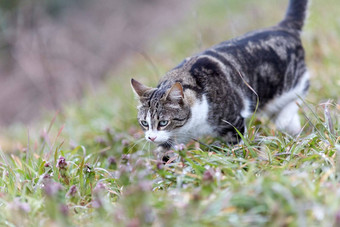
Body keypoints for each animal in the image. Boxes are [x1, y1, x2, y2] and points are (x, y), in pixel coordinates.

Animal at [131, 0, 310, 153]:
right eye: (144, 123)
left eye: (163, 122)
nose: (151, 137)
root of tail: (283, 28)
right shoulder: (170, 140)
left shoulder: (233, 122)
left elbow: (237, 143)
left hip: (292, 83)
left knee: (302, 90)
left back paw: (286, 119)